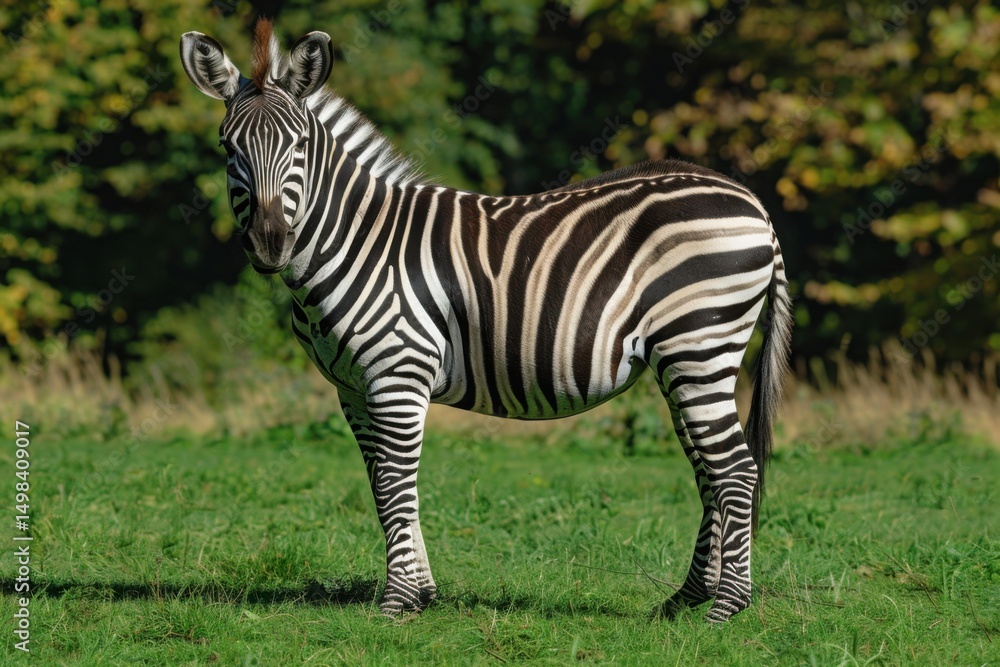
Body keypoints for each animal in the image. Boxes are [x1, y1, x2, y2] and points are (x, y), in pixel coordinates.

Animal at [180, 20, 792, 623]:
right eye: (227, 146)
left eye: (300, 146)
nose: (268, 243)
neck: (355, 240)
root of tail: (752, 202)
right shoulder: (351, 387)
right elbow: (380, 484)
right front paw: (421, 592)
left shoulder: (397, 374)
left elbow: (397, 483)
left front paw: (397, 603)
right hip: (683, 361)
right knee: (710, 471)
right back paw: (687, 598)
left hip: (699, 346)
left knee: (736, 470)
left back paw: (727, 606)